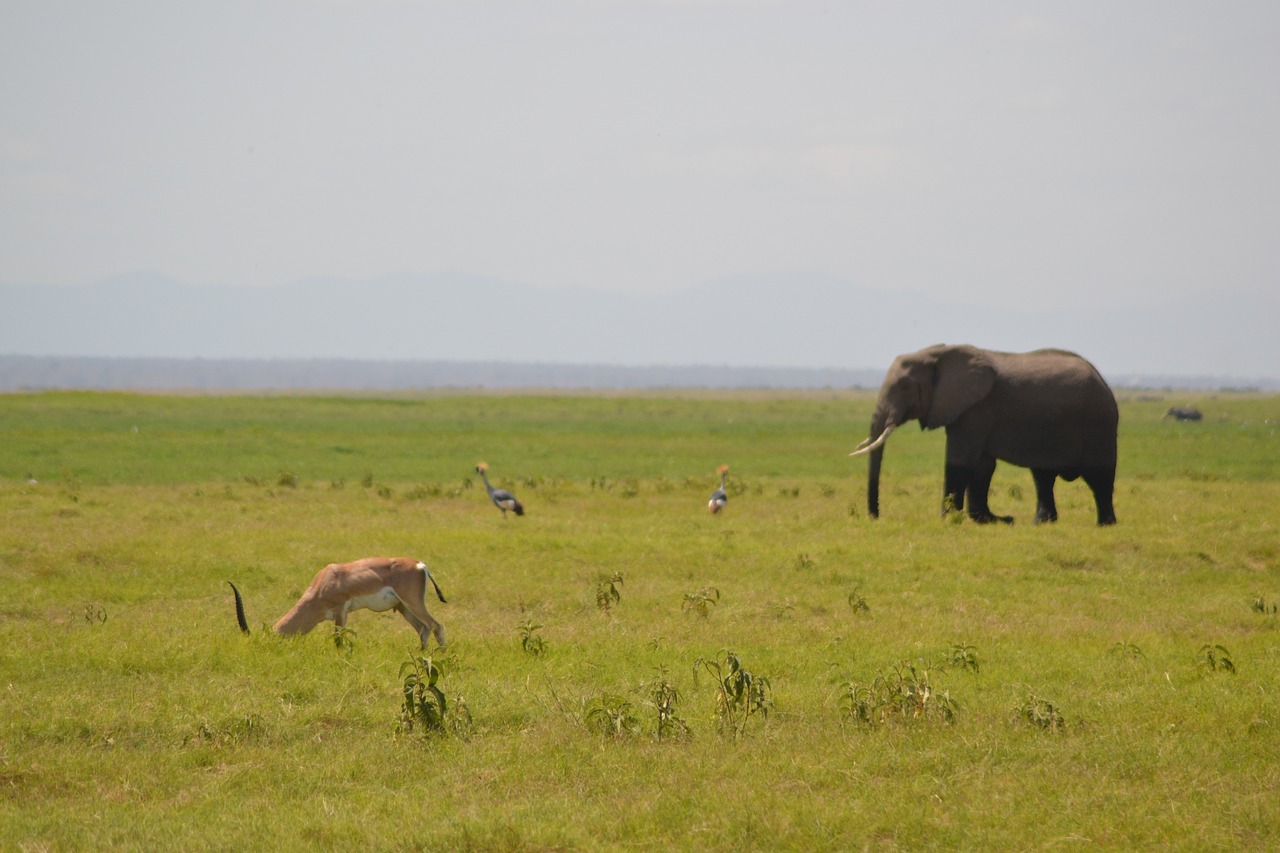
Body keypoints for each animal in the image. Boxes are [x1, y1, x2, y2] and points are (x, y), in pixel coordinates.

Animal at [227, 555, 448, 648]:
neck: (322, 584)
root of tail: (421, 565)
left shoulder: (341, 610)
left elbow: (338, 639)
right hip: (403, 607)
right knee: (423, 629)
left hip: (412, 602)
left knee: (435, 625)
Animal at [849, 343, 1121, 522]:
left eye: (905, 386)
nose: (875, 517)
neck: (938, 354)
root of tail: (1102, 380)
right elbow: (981, 466)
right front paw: (989, 520)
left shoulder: (976, 409)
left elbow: (960, 460)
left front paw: (949, 519)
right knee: (1043, 476)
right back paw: (1042, 522)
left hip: (1100, 423)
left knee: (1099, 476)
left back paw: (1105, 524)